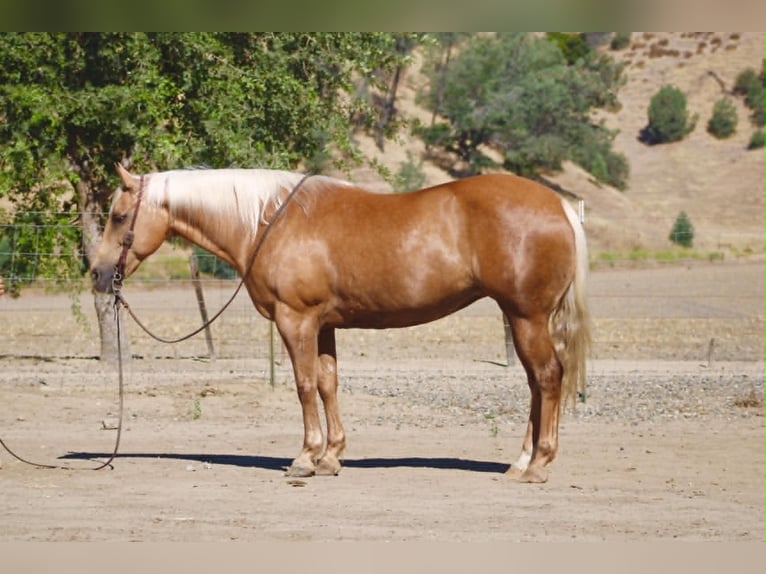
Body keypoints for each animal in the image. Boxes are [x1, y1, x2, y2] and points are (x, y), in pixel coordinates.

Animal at [90, 164, 590, 483]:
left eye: (118, 216)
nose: (97, 273)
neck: (268, 221)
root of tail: (560, 207)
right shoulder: (324, 325)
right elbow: (328, 384)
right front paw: (331, 457)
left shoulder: (296, 320)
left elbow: (304, 385)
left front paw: (305, 457)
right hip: (523, 318)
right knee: (537, 384)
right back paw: (521, 460)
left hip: (526, 317)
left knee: (547, 378)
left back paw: (537, 465)